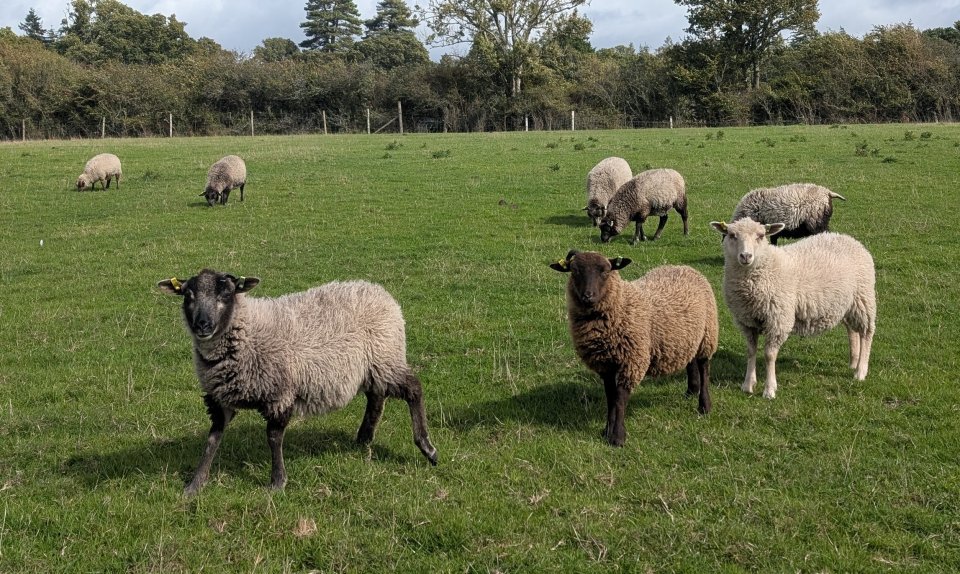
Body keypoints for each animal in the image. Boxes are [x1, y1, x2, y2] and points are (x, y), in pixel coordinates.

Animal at [157, 269, 438, 495]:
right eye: (187, 295)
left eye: (226, 293)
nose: (202, 325)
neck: (247, 329)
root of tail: (378, 290)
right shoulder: (219, 399)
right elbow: (212, 440)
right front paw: (195, 484)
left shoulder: (280, 394)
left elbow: (273, 438)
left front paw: (277, 482)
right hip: (372, 367)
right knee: (376, 398)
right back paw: (364, 438)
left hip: (386, 357)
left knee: (414, 389)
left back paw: (427, 447)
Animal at [550, 250, 718, 446]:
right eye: (574, 271)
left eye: (605, 271)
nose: (587, 296)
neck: (621, 304)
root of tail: (685, 267)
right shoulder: (605, 364)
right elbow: (610, 397)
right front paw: (607, 430)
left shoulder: (631, 361)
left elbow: (620, 399)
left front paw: (617, 437)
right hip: (687, 337)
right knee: (690, 361)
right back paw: (691, 390)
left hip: (708, 335)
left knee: (704, 367)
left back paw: (704, 405)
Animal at [710, 217, 876, 399]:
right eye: (732, 235)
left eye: (761, 236)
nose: (746, 256)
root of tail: (849, 239)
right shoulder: (747, 322)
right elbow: (751, 351)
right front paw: (747, 384)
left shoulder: (778, 320)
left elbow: (769, 355)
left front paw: (769, 389)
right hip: (845, 304)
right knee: (852, 331)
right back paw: (854, 362)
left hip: (863, 298)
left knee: (867, 332)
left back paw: (860, 371)